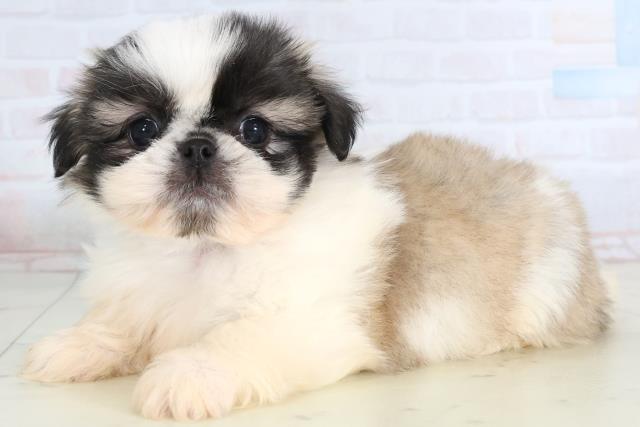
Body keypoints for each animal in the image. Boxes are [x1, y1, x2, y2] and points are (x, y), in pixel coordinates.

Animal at [22, 13, 611, 421]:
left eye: (254, 130)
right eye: (142, 129)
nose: (197, 147)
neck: (208, 249)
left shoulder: (312, 320)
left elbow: (241, 338)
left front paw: (191, 373)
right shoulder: (143, 290)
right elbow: (122, 320)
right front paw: (78, 345)